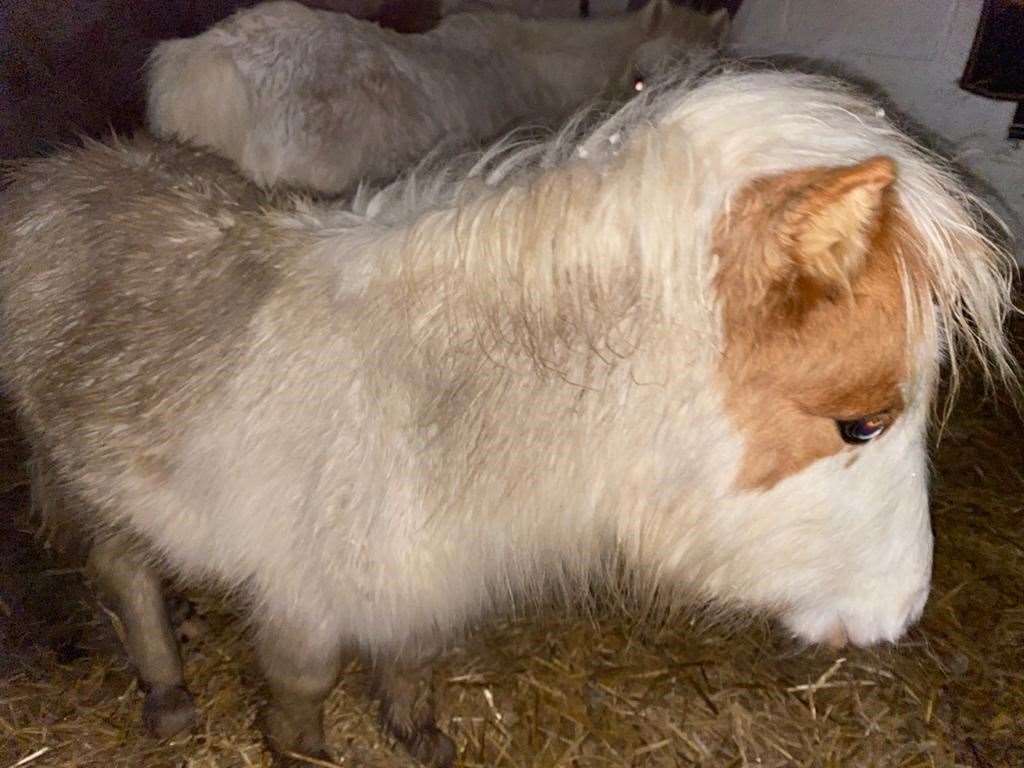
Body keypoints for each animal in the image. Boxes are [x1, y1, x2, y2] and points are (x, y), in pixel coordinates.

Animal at [0, 69, 1007, 765]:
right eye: (860, 425)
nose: (900, 612)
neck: (429, 398)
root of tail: (60, 176)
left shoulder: (414, 572)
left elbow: (411, 658)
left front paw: (419, 735)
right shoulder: (304, 594)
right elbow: (301, 695)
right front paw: (308, 749)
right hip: (85, 475)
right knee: (123, 573)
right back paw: (167, 694)